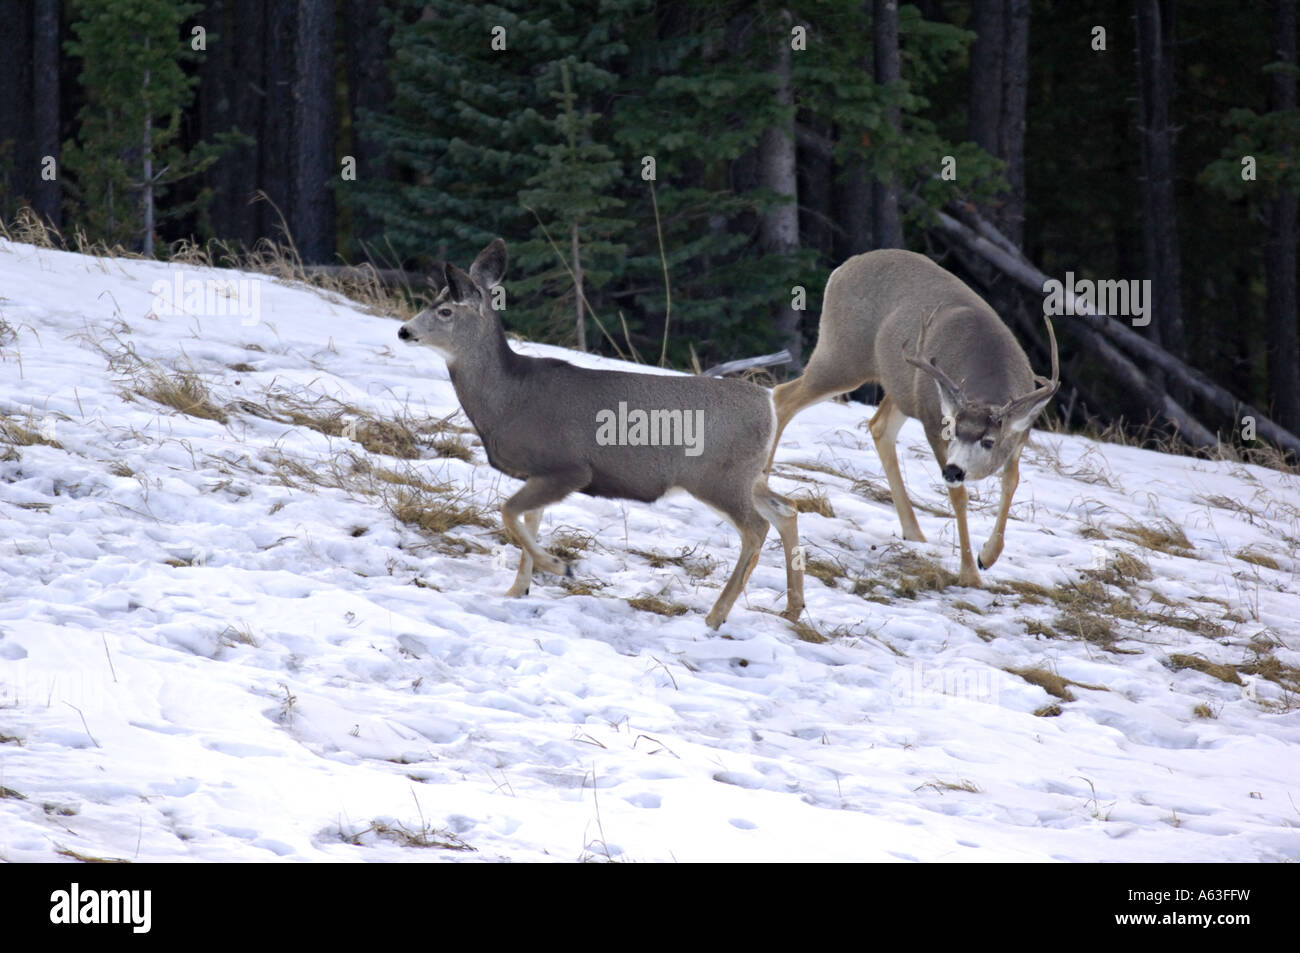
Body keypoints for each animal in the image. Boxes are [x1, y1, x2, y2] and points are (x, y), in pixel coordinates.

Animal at [397, 238, 804, 630]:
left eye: (446, 311)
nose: (404, 330)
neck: (508, 400)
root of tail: (769, 403)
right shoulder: (539, 472)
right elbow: (529, 522)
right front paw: (517, 590)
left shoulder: (569, 467)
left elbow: (509, 512)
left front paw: (559, 566)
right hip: (748, 476)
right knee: (787, 509)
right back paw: (793, 609)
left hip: (717, 476)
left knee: (756, 528)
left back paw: (716, 616)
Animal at [769, 248, 1058, 587]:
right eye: (952, 430)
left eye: (989, 441)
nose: (954, 470)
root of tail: (842, 268)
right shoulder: (933, 423)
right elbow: (959, 498)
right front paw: (970, 573)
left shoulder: (1019, 438)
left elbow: (1011, 483)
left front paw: (987, 556)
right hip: (843, 355)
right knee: (782, 396)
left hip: (898, 386)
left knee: (878, 426)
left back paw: (914, 532)